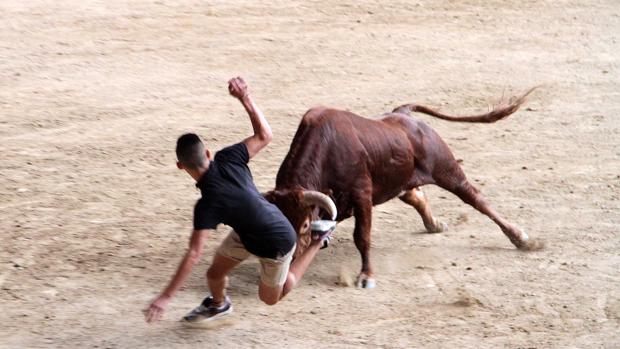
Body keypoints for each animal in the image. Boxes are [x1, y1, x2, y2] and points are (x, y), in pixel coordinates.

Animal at [266, 88, 544, 286]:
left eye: (304, 224)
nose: (287, 259)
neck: (327, 150)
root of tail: (404, 113)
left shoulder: (362, 195)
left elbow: (362, 236)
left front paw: (366, 277)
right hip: (400, 179)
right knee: (416, 196)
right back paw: (435, 225)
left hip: (446, 169)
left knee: (476, 198)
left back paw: (520, 239)